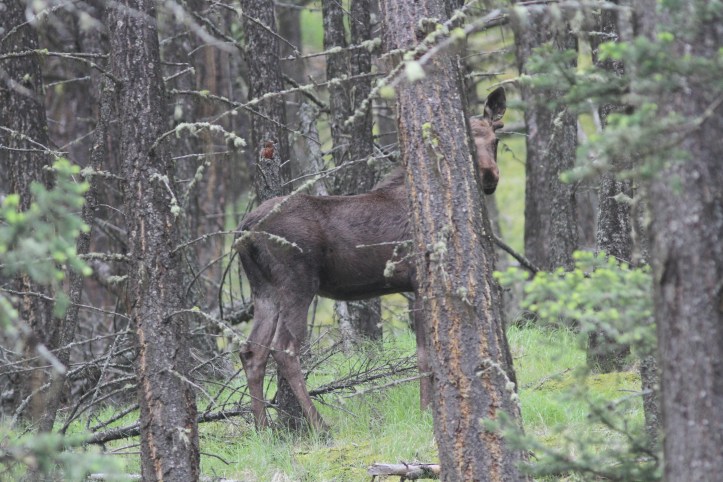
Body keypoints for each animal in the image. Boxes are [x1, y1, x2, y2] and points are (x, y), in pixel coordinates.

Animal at [234, 87, 506, 431]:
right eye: (468, 142)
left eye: (495, 139)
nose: (489, 177)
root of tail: (244, 230)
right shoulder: (418, 278)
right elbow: (424, 353)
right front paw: (425, 412)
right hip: (297, 282)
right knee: (285, 349)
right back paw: (320, 425)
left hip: (264, 289)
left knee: (251, 350)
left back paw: (262, 428)